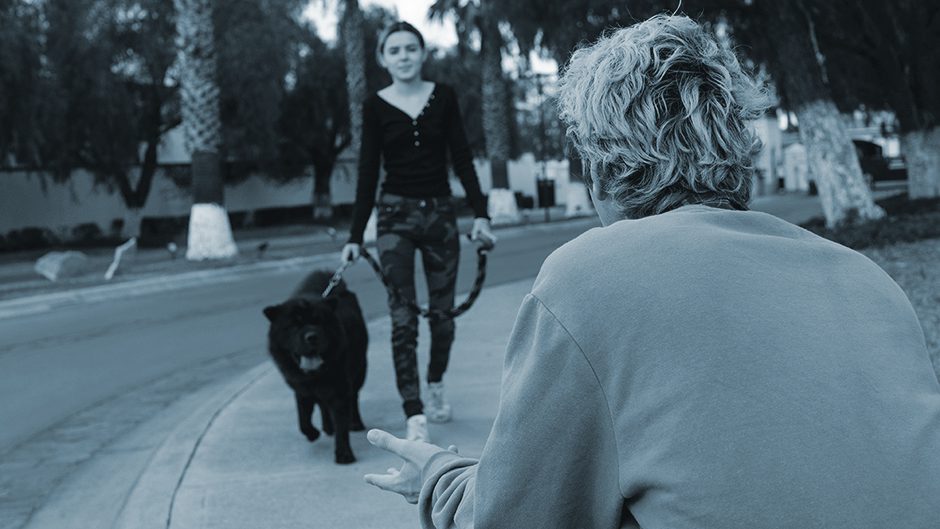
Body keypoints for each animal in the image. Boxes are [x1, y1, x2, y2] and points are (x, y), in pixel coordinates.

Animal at [266, 270, 370, 464]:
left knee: (354, 397)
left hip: (360, 371)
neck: (314, 376)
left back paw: (355, 423)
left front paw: (344, 454)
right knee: (323, 405)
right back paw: (327, 427)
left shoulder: (339, 391)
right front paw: (312, 433)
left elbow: (341, 426)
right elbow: (303, 420)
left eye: (319, 322)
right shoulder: (301, 389)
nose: (311, 336)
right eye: (295, 325)